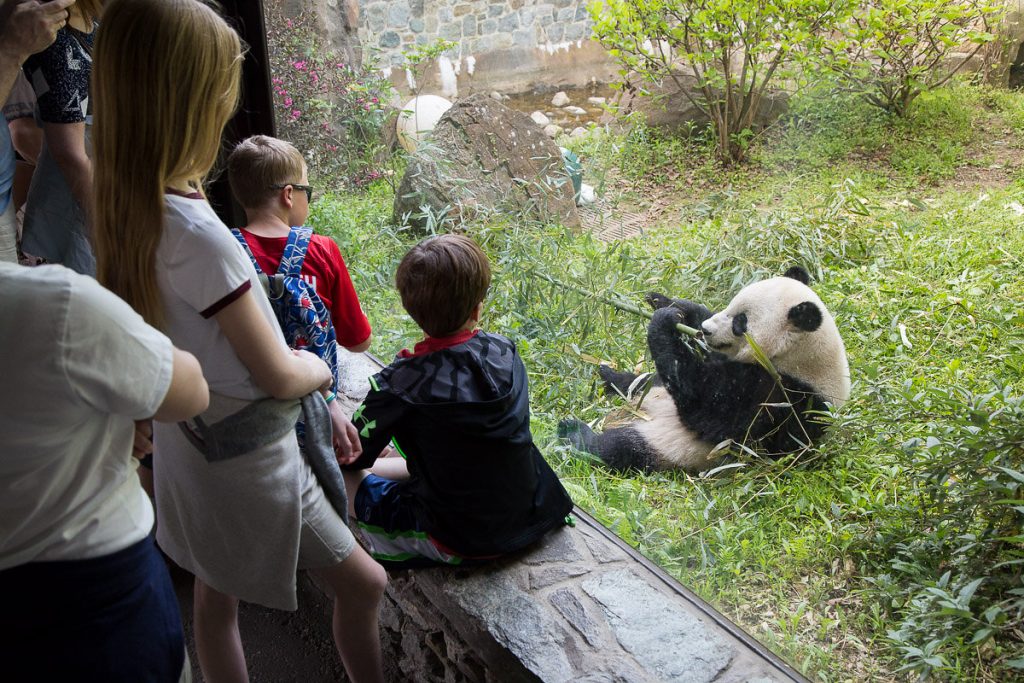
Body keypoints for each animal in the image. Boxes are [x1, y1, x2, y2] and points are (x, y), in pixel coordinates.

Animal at [561, 266, 847, 475]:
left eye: (740, 321)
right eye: (730, 305)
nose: (707, 330)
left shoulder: (782, 398)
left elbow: (705, 404)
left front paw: (663, 323)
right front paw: (668, 304)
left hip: (666, 446)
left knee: (618, 448)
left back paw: (573, 433)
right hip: (650, 393)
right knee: (642, 381)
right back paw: (609, 377)